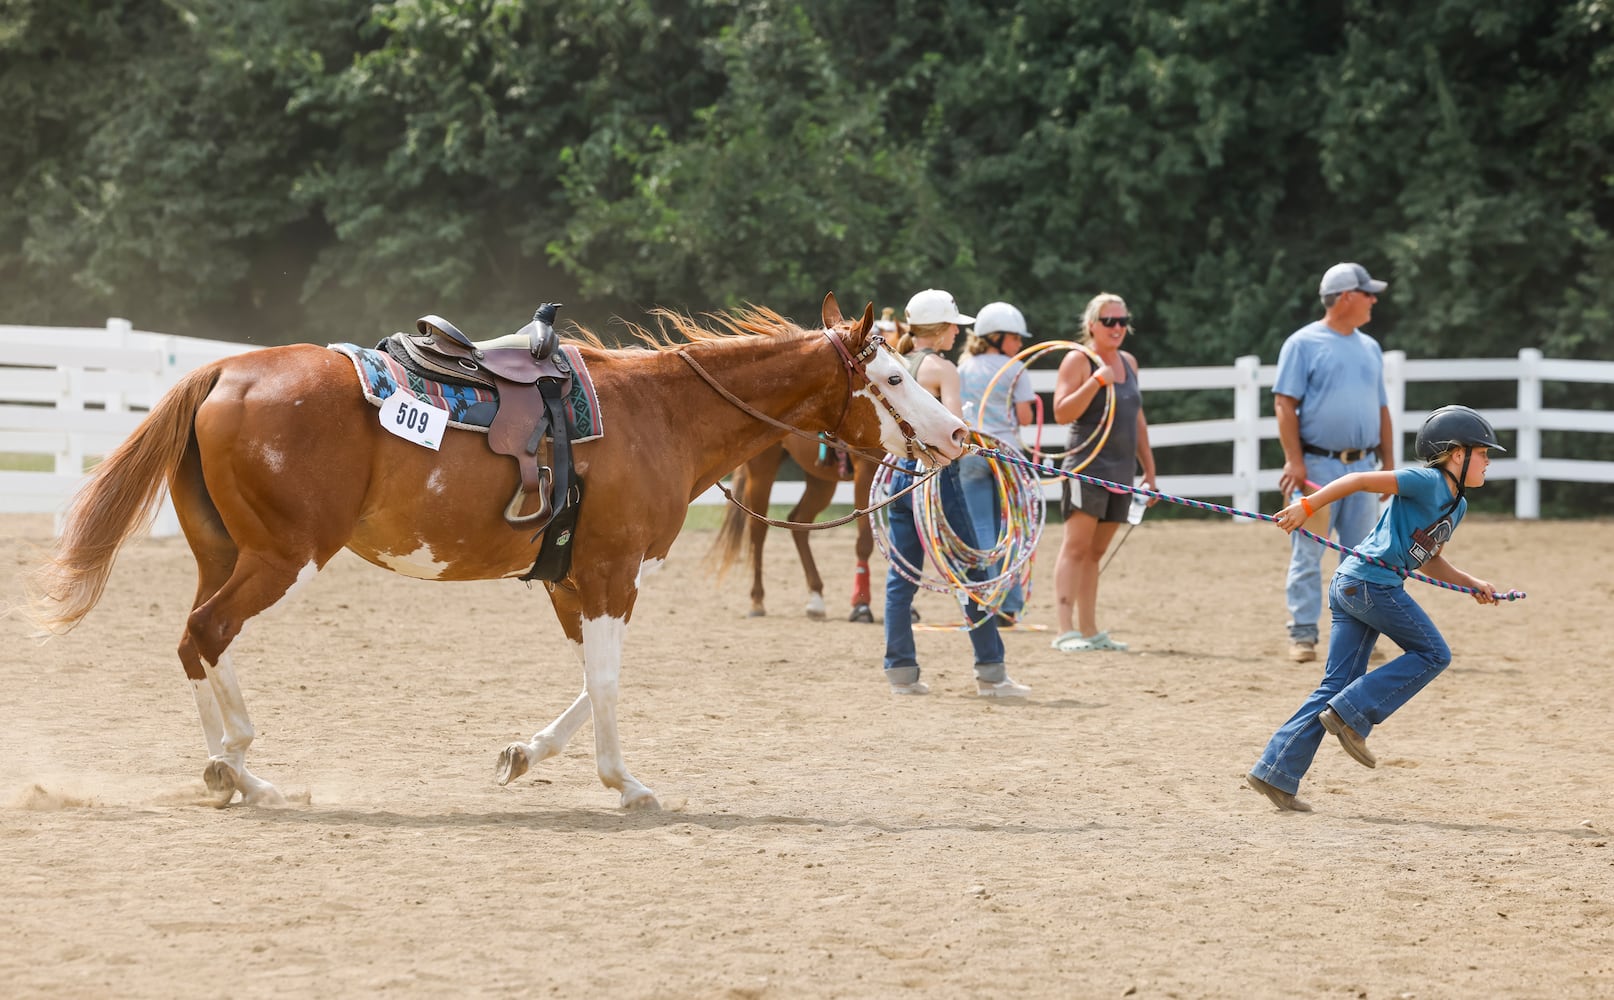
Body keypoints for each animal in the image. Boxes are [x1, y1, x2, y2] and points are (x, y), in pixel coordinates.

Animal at [710, 441, 878, 622]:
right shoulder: (866, 469)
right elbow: (865, 543)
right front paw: (861, 604)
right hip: (762, 467)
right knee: (758, 530)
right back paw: (757, 600)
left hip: (820, 477)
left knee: (799, 521)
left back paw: (816, 597)